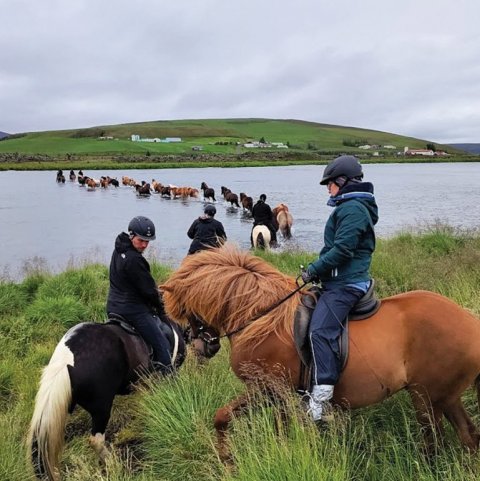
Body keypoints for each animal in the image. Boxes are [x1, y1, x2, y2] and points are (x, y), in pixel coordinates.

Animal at [160, 246, 480, 460]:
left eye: (185, 312)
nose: (202, 347)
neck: (262, 317)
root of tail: (470, 321)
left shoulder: (270, 390)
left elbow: (266, 427)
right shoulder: (269, 392)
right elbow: (222, 418)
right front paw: (227, 458)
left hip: (425, 395)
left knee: (434, 440)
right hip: (445, 396)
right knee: (467, 435)